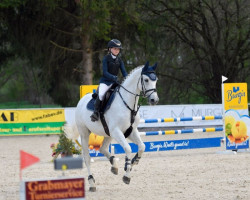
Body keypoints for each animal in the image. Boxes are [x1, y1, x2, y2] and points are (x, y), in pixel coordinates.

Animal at [64, 61, 158, 191]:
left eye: (156, 80)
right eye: (146, 79)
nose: (154, 100)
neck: (128, 105)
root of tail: (81, 101)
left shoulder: (131, 131)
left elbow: (142, 146)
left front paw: (134, 161)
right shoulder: (117, 131)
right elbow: (128, 148)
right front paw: (127, 174)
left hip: (108, 134)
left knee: (103, 149)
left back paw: (114, 165)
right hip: (85, 134)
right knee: (87, 157)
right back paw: (92, 183)